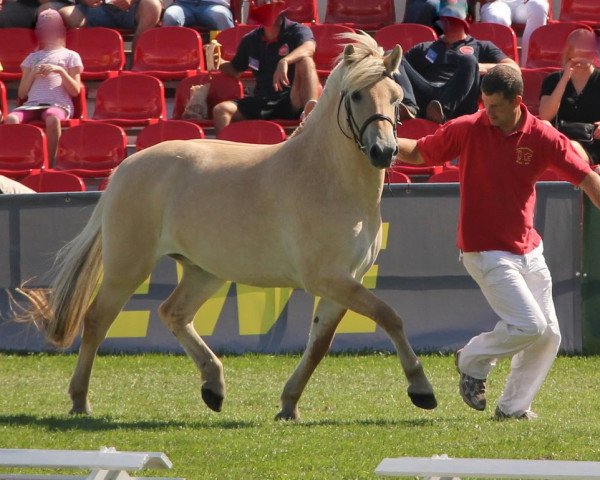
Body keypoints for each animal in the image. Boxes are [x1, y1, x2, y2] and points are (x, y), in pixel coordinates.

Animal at [19, 32, 436, 420]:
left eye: (396, 96)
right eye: (356, 95)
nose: (384, 151)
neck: (328, 180)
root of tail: (127, 166)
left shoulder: (343, 283)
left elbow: (319, 346)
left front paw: (288, 405)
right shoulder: (328, 279)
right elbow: (389, 316)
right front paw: (422, 389)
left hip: (204, 271)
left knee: (173, 313)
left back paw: (213, 386)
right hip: (128, 266)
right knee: (97, 320)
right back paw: (80, 401)